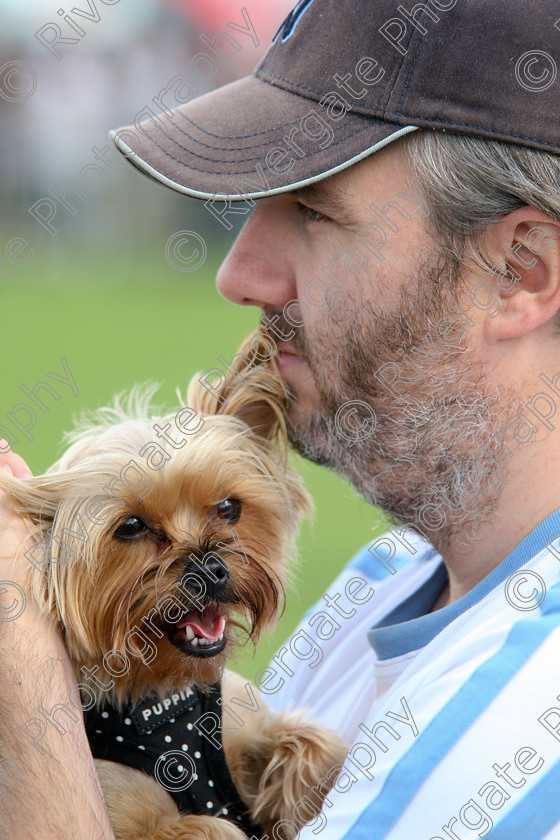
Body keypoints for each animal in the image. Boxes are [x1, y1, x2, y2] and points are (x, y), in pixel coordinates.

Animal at [0, 330, 348, 840]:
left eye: (229, 507)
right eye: (130, 526)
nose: (209, 569)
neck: (162, 697)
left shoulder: (243, 724)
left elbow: (315, 744)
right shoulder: (133, 814)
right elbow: (207, 826)